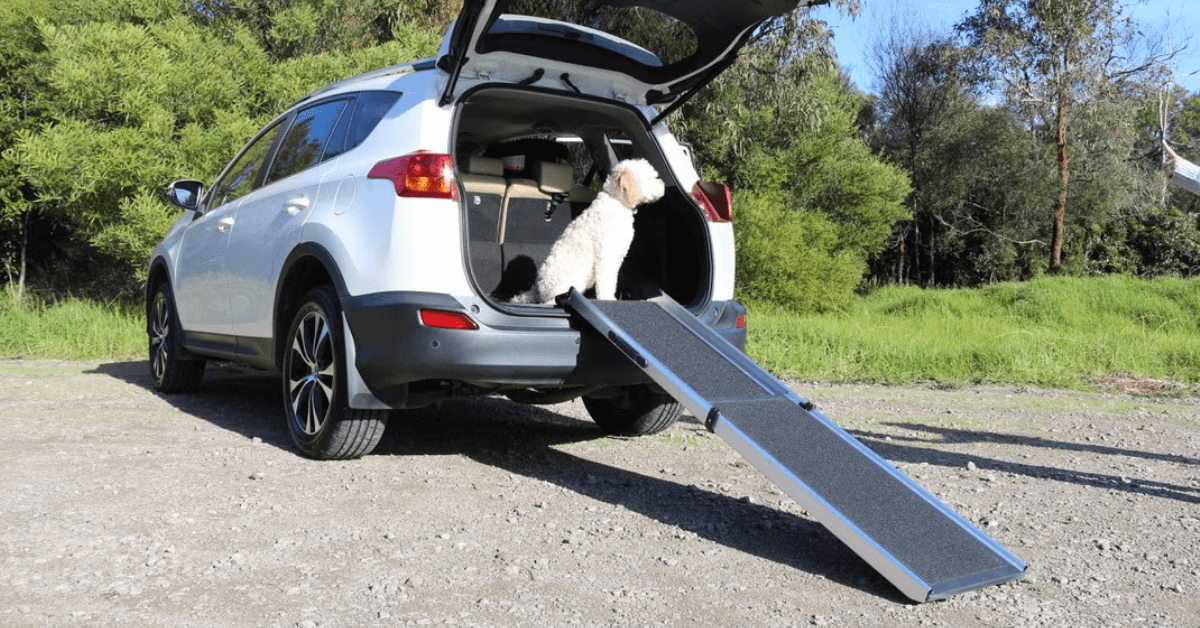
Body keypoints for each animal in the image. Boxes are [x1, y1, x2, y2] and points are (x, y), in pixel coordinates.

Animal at [511, 157, 667, 304]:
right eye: (650, 177)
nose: (663, 185)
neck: (617, 202)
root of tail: (537, 290)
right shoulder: (606, 255)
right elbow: (606, 280)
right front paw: (607, 298)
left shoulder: (617, 256)